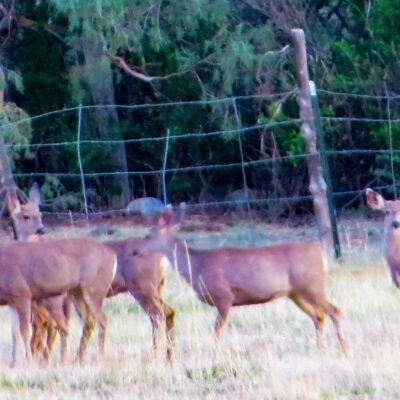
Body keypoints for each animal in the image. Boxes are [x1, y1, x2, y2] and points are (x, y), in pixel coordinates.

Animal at [134, 209, 346, 354]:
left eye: (148, 234)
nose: (135, 251)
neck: (197, 267)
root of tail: (321, 255)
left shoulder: (224, 296)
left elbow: (216, 330)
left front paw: (216, 354)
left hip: (312, 286)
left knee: (335, 311)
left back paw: (342, 349)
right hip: (296, 293)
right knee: (319, 316)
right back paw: (319, 349)